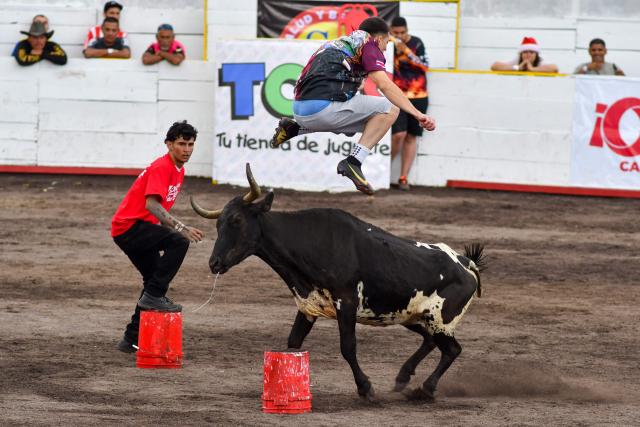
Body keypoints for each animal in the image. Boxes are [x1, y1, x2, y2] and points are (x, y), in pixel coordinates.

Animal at [191, 164, 486, 402]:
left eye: (237, 220)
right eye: (217, 224)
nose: (214, 263)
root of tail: (465, 263)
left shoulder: (347, 302)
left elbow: (348, 347)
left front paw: (365, 388)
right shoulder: (307, 306)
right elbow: (293, 343)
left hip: (440, 321)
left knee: (452, 349)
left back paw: (425, 388)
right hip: (411, 316)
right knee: (430, 341)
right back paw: (403, 378)